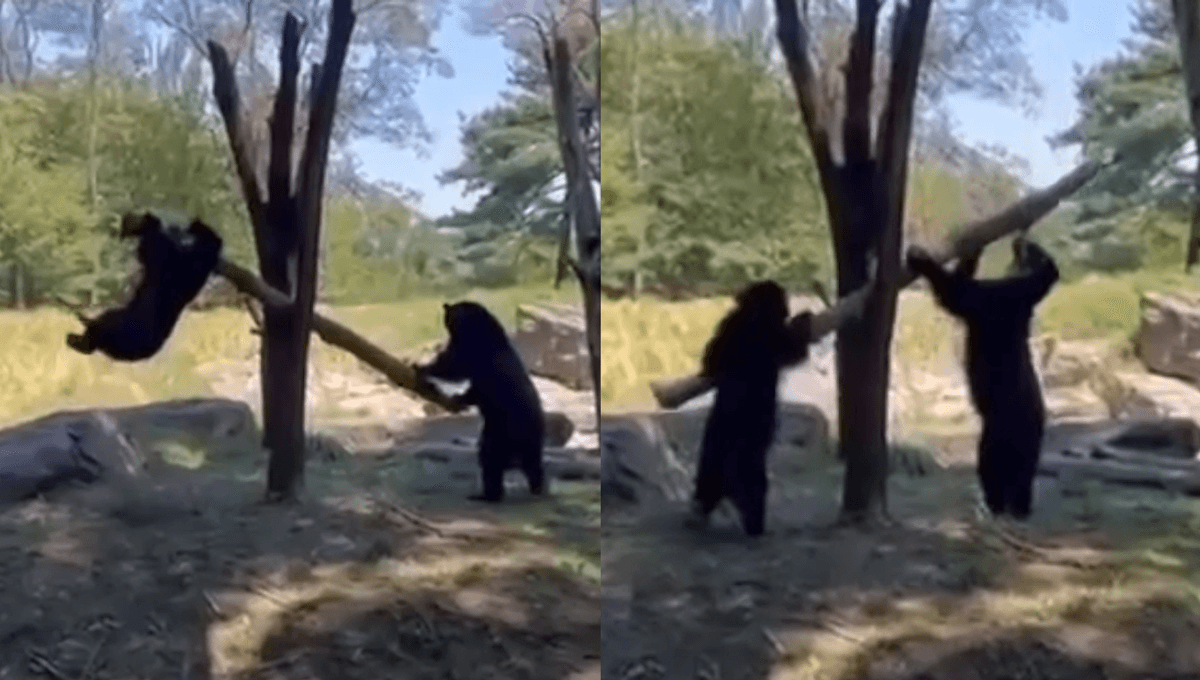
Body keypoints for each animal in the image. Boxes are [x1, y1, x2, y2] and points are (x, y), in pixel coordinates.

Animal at [418, 301, 546, 503]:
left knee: (490, 458)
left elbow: (453, 366)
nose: (445, 306)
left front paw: (421, 367)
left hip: (501, 432)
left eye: (448, 316)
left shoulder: (474, 352)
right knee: (532, 465)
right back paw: (538, 488)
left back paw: (487, 495)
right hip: (524, 440)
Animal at [686, 280, 812, 537]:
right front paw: (804, 319)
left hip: (710, 455)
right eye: (783, 299)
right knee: (754, 490)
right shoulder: (770, 335)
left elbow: (710, 358)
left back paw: (697, 513)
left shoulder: (727, 328)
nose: (789, 307)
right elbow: (793, 349)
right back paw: (755, 526)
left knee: (705, 485)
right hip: (745, 459)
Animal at [905, 235, 1060, 519]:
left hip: (999, 430)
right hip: (1026, 440)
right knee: (1024, 472)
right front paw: (974, 249)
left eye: (1033, 250)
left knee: (991, 464)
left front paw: (919, 256)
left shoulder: (987, 300)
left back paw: (995, 503)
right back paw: (1020, 506)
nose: (1021, 238)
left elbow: (954, 292)